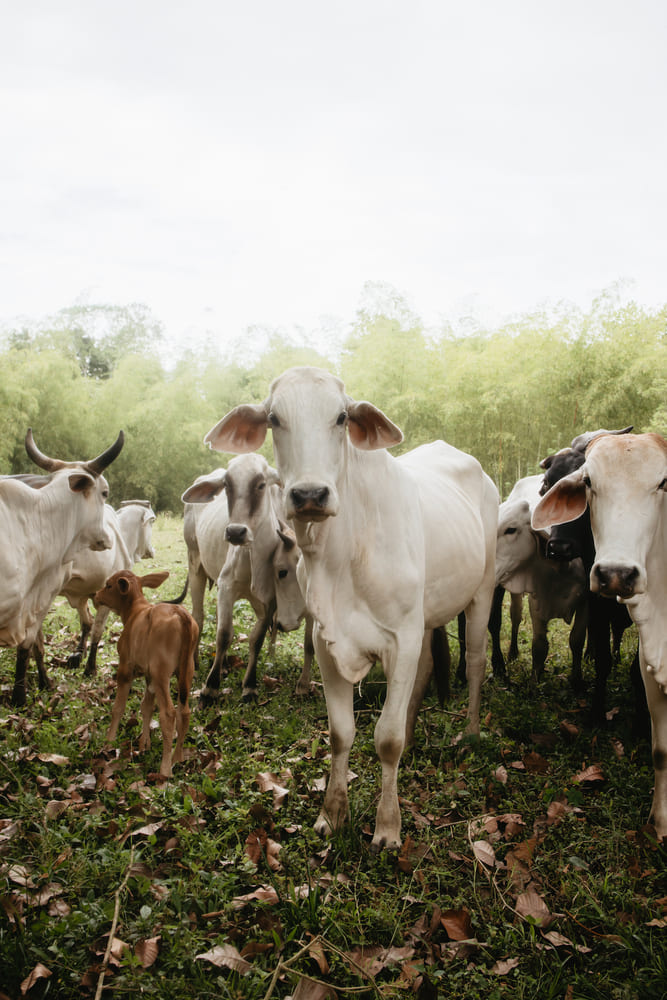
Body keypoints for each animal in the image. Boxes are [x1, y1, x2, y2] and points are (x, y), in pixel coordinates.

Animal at [0, 429, 124, 706]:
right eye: (105, 493)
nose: (109, 539)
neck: (38, 519)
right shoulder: (39, 595)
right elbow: (30, 644)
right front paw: (21, 694)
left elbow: (34, 643)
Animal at [94, 570, 198, 779]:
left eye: (108, 585)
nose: (96, 595)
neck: (134, 612)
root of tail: (180, 613)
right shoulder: (148, 675)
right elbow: (146, 706)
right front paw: (144, 743)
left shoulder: (125, 668)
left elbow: (118, 707)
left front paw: (108, 743)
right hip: (186, 671)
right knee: (184, 711)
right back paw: (177, 758)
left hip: (161, 673)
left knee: (169, 713)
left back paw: (165, 769)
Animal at [181, 454, 313, 700]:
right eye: (226, 485)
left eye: (261, 485)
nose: (235, 532)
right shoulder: (227, 586)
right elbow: (224, 634)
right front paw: (210, 688)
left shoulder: (268, 600)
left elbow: (257, 639)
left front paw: (249, 685)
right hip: (195, 564)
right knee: (198, 616)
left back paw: (223, 665)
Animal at [201, 366, 499, 850]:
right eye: (274, 418)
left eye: (341, 417)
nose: (309, 494)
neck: (342, 555)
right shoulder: (329, 642)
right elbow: (341, 734)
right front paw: (332, 814)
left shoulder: (401, 638)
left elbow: (387, 739)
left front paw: (388, 827)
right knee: (425, 671)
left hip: (482, 591)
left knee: (474, 661)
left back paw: (470, 732)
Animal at [532, 432, 666, 841]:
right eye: (587, 484)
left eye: (662, 483)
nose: (558, 548)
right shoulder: (597, 604)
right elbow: (604, 659)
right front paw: (594, 709)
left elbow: (637, 675)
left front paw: (638, 724)